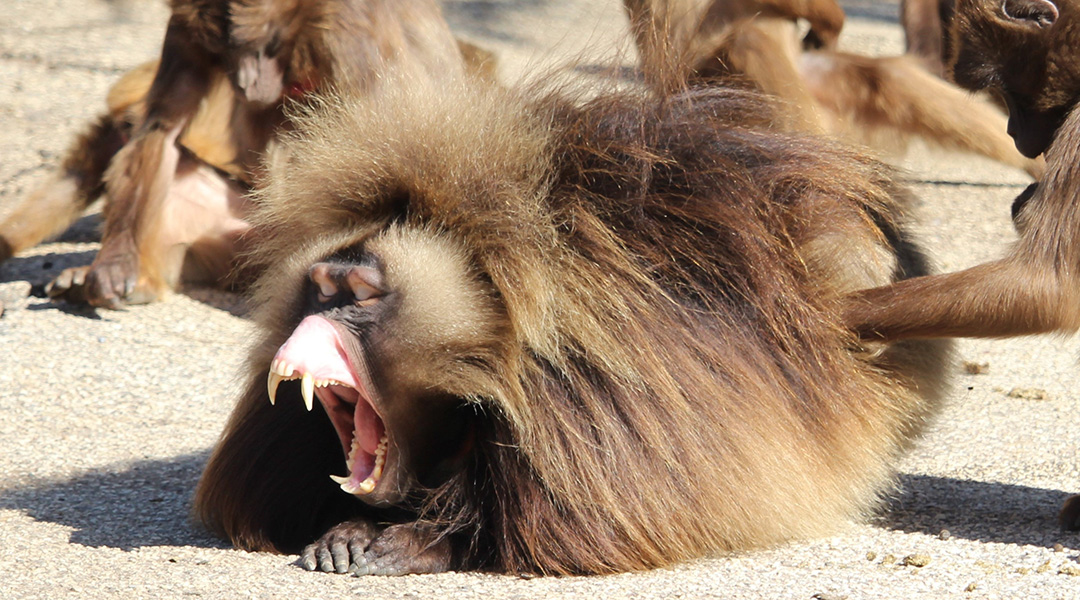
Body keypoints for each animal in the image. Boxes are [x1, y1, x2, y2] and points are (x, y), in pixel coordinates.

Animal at [1, 0, 473, 308]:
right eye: (227, 51)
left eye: (262, 46)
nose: (246, 82)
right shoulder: (188, 26)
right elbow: (161, 129)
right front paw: (113, 267)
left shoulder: (353, 35)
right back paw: (138, 281)